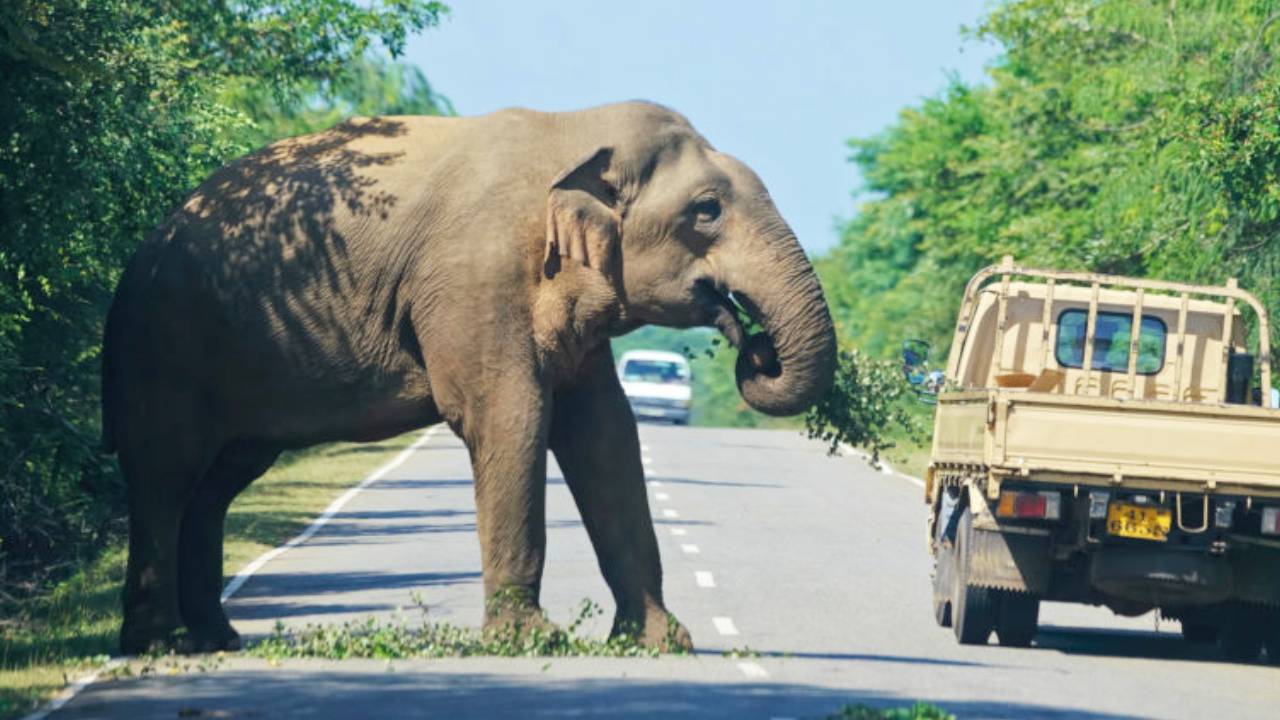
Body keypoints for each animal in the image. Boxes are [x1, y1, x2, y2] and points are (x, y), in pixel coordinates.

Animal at [102, 98, 839, 653]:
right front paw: (531, 642)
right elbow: (509, 416)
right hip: (163, 342)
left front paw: (660, 645)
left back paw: (215, 640)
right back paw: (161, 645)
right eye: (706, 210)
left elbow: (605, 434)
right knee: (167, 473)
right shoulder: (473, 281)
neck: (572, 132)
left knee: (217, 482)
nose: (751, 340)